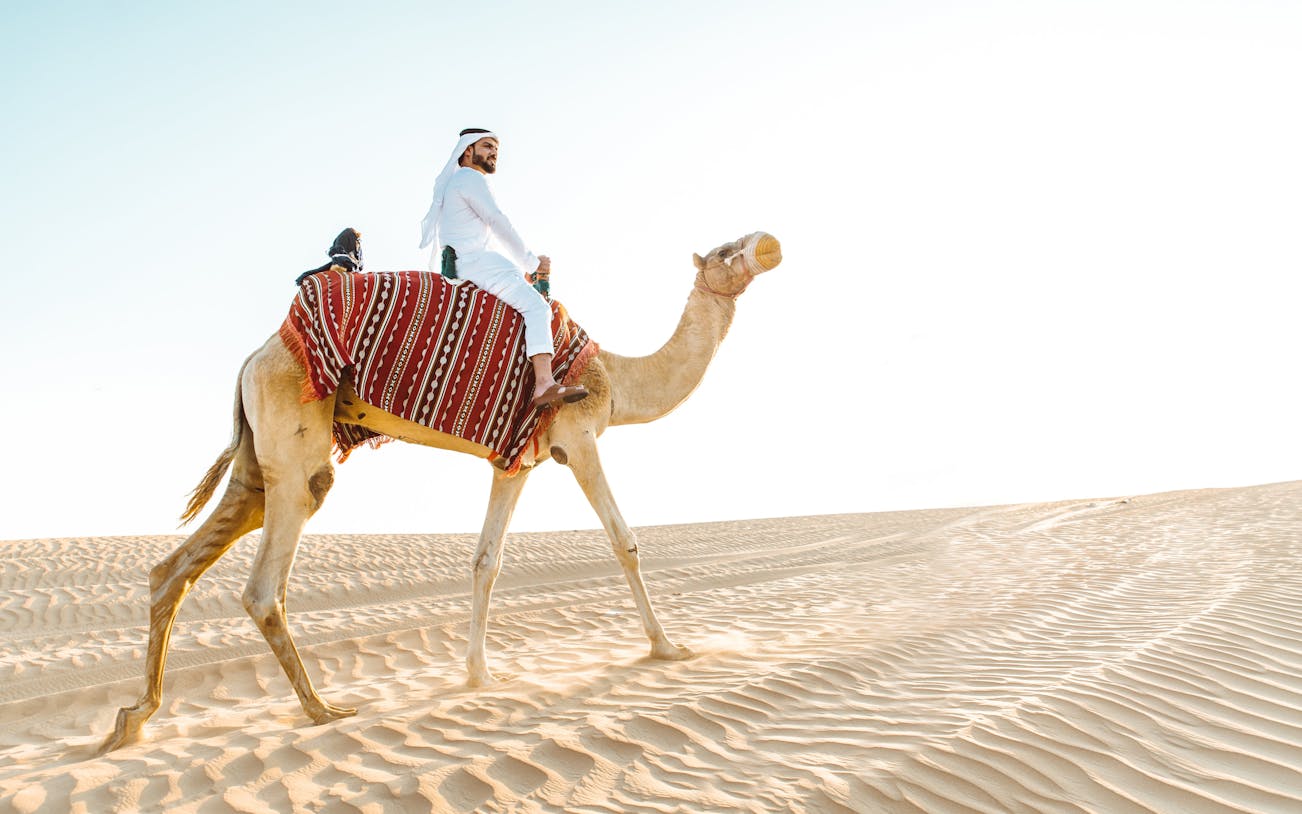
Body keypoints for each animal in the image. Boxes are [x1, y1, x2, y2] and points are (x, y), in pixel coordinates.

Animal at [101, 231, 782, 751]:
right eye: (726, 251)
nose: (766, 243)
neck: (615, 376)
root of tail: (253, 356)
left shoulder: (515, 463)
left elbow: (487, 561)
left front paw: (480, 675)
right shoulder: (578, 437)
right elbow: (624, 541)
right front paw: (668, 648)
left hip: (255, 459)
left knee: (177, 565)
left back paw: (134, 718)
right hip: (294, 440)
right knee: (266, 581)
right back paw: (322, 709)